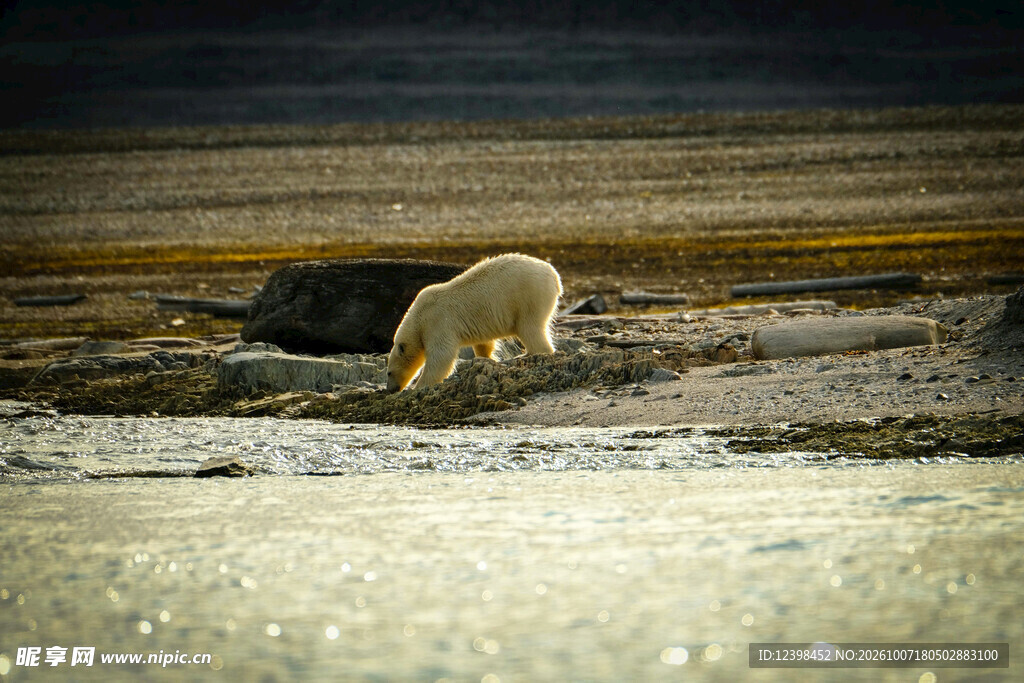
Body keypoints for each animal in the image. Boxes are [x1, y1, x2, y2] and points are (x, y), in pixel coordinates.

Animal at [386, 253, 563, 392]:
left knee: (530, 327)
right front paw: (488, 358)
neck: (418, 318)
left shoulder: (437, 322)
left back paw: (528, 353)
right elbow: (484, 343)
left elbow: (441, 356)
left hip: (529, 297)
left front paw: (418, 386)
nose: (390, 390)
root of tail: (555, 276)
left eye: (389, 372)